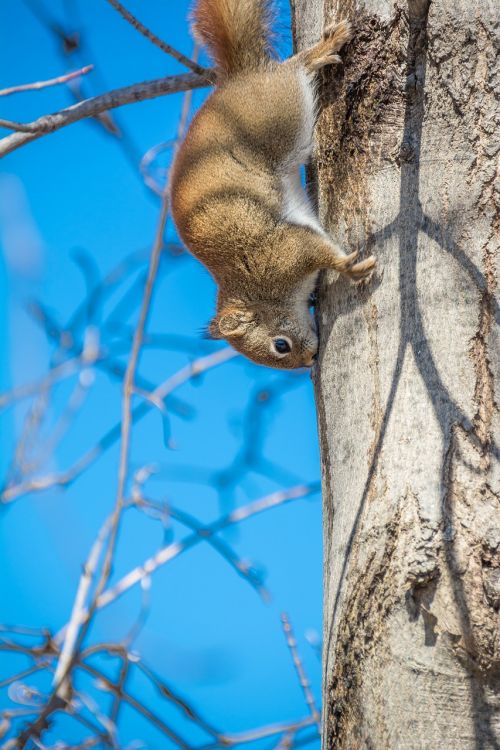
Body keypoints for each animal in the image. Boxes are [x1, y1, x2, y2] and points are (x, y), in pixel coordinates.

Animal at [169, 0, 376, 370]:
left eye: (280, 345)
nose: (310, 360)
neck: (258, 290)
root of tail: (239, 78)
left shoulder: (286, 251)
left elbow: (323, 252)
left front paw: (350, 267)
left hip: (279, 114)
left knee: (293, 69)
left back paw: (321, 50)